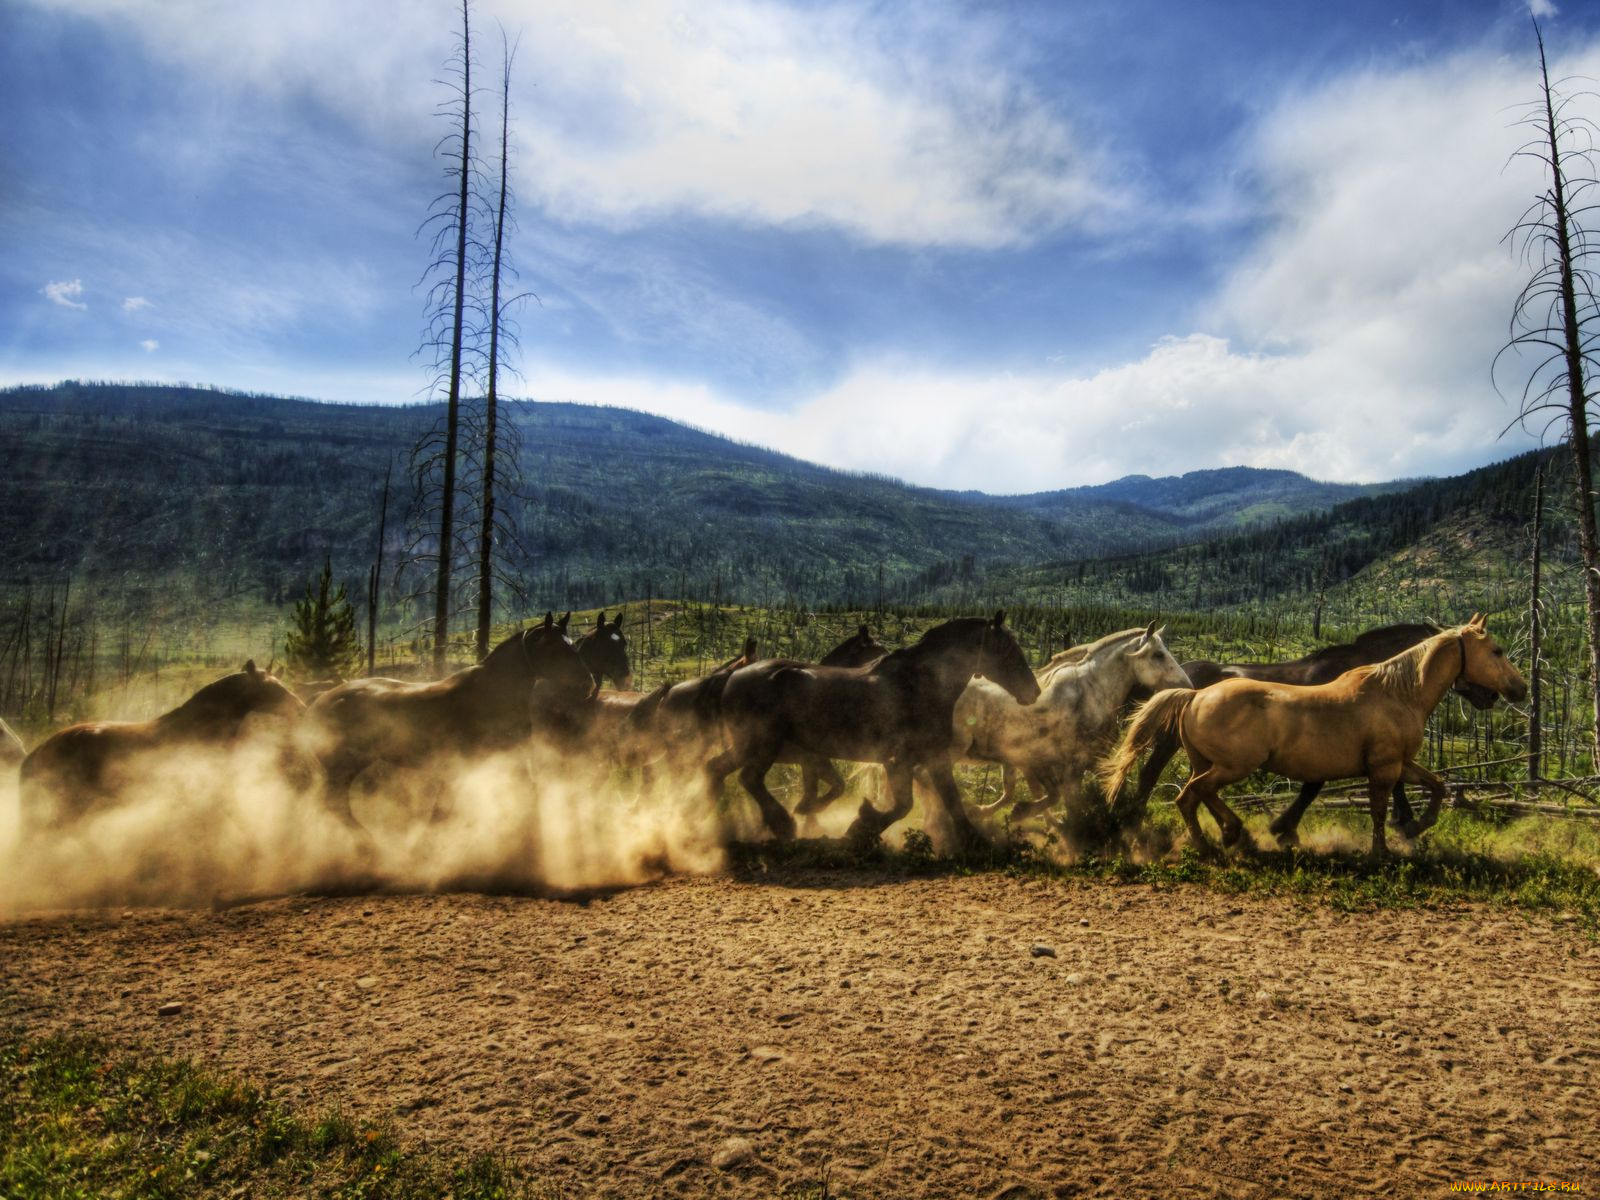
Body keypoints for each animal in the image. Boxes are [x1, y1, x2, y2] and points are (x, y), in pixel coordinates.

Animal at [305, 614, 595, 832]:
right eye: (554, 647)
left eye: (572, 643)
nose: (587, 684)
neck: (492, 692)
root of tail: (322, 699)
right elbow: (444, 811)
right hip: (341, 766)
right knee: (335, 805)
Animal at [713, 614, 1036, 851]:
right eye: (1008, 649)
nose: (1032, 690)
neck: (919, 685)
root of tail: (734, 677)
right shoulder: (898, 760)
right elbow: (903, 805)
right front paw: (860, 827)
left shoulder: (934, 757)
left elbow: (952, 801)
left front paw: (976, 841)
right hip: (762, 745)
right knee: (748, 778)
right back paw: (782, 824)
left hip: (746, 746)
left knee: (716, 769)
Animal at [947, 624, 1190, 825]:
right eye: (1158, 654)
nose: (1188, 685)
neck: (1090, 692)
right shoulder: (1068, 764)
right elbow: (1066, 802)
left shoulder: (1084, 760)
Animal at [1100, 614, 1523, 857]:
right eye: (1498, 651)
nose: (1519, 689)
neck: (1395, 690)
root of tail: (1191, 692)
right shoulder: (1380, 761)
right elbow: (1370, 800)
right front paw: (1392, 840)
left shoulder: (1391, 760)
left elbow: (1435, 785)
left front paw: (1413, 827)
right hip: (1222, 762)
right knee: (1171, 785)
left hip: (1207, 761)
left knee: (1195, 791)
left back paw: (1227, 834)